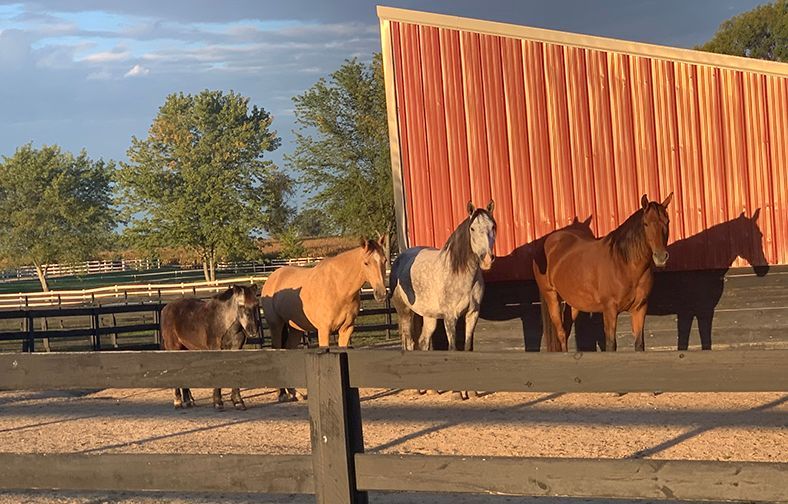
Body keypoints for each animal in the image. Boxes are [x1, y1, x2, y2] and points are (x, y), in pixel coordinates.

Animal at [261, 236, 388, 402]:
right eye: (366, 263)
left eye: (385, 260)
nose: (381, 294)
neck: (338, 287)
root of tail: (273, 277)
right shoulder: (323, 330)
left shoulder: (346, 329)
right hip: (276, 325)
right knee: (277, 350)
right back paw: (282, 394)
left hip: (295, 329)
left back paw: (295, 392)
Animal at [390, 200, 496, 399]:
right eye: (472, 228)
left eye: (493, 226)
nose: (487, 259)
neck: (461, 273)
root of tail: (399, 259)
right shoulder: (450, 317)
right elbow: (452, 348)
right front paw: (457, 392)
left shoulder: (472, 314)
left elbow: (467, 348)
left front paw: (471, 392)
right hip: (405, 313)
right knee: (409, 344)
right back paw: (415, 388)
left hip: (429, 317)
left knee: (423, 343)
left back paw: (431, 389)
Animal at [534, 193, 673, 352]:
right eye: (646, 224)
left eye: (667, 222)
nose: (661, 257)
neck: (624, 264)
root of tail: (548, 241)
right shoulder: (610, 310)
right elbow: (611, 345)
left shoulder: (639, 309)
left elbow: (639, 345)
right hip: (552, 297)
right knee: (561, 333)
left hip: (574, 302)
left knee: (566, 330)